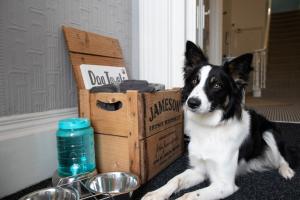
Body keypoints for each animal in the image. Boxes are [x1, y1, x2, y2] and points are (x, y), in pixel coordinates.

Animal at [142, 41, 296, 199]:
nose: (192, 103)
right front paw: (156, 194)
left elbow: (190, 195)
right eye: (194, 81)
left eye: (217, 85)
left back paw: (286, 171)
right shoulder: (198, 170)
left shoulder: (225, 185)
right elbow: (174, 179)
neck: (209, 127)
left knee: (283, 159)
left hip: (269, 133)